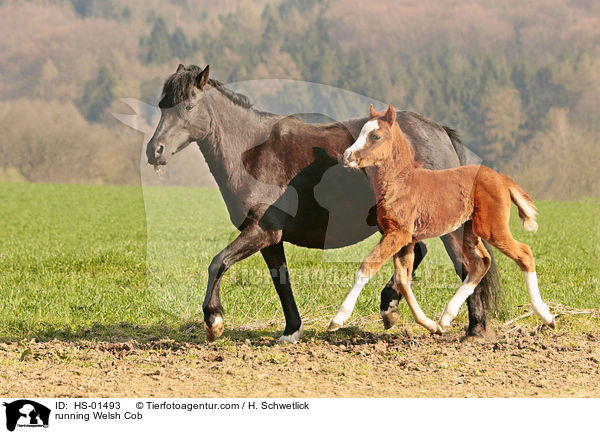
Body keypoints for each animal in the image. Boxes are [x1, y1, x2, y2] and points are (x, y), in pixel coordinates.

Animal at [144, 64, 496, 342]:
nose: (154, 150)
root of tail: (439, 132)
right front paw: (291, 331)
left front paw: (214, 319)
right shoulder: (270, 239)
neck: (251, 152)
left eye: (189, 106)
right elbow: (281, 281)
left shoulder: (261, 231)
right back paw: (391, 306)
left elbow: (217, 263)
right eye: (163, 106)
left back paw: (472, 329)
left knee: (468, 265)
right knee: (422, 255)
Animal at [330, 104, 556, 332]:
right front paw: (428, 324)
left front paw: (338, 318)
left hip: (491, 228)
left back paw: (546, 316)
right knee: (481, 262)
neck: (402, 181)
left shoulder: (398, 235)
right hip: (468, 230)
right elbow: (403, 279)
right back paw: (446, 317)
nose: (347, 155)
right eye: (361, 132)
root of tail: (501, 178)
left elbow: (367, 268)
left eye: (375, 136)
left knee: (524, 254)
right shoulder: (404, 238)